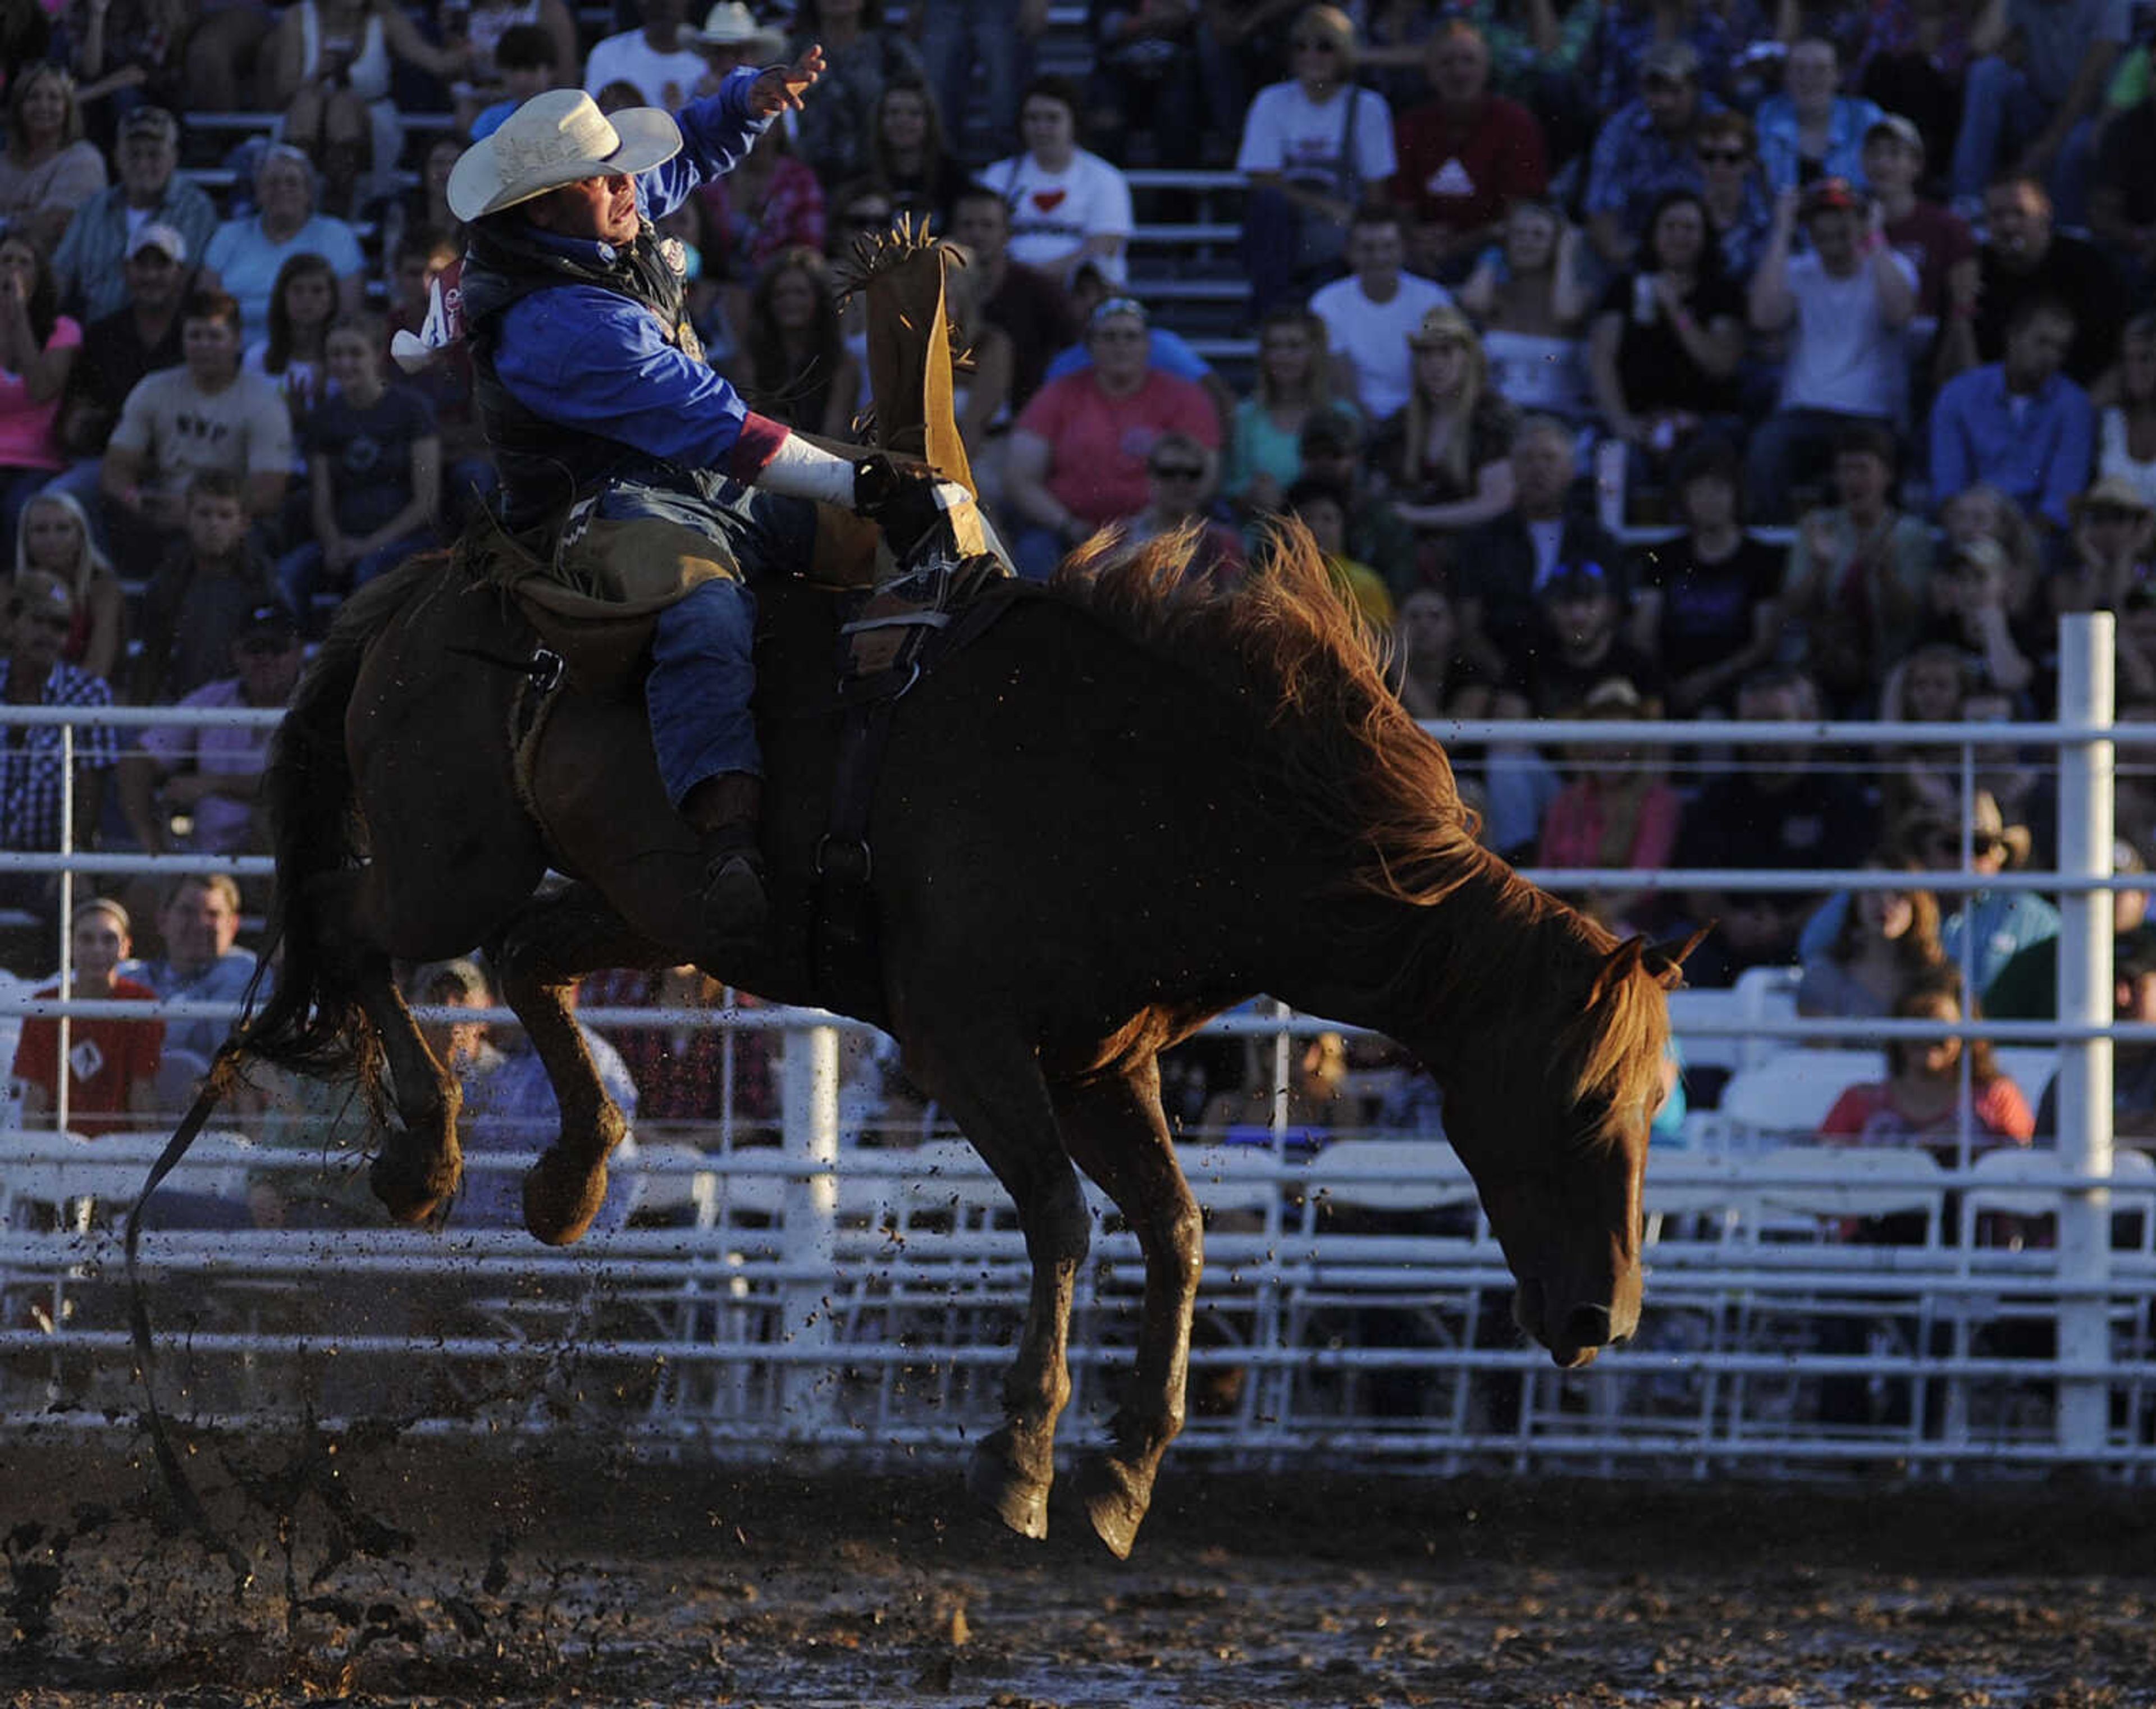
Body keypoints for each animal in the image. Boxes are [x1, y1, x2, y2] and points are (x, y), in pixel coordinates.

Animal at [227, 517, 1690, 1543]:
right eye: (1581, 1100)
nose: (1601, 1315)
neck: (1163, 790)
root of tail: (428, 586)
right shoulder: (967, 1041)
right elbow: (1062, 1216)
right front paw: (1024, 1455)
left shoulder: (1102, 1064)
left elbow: (1174, 1227)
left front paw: (1123, 1468)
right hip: (454, 858)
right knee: (353, 925)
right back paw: (425, 1150)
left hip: (651, 902)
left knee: (523, 955)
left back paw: (569, 1175)